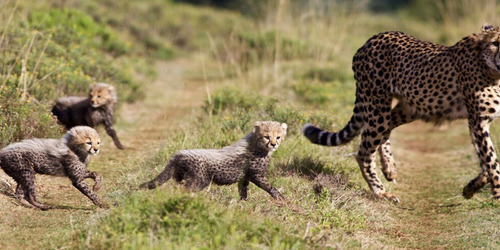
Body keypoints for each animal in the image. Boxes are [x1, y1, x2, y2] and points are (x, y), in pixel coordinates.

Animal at [304, 23, 500, 202]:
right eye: (495, 43)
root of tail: (372, 39)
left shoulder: (476, 121)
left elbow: (485, 160)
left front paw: (471, 188)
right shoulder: (478, 120)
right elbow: (492, 161)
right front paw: (497, 194)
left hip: (410, 108)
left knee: (386, 129)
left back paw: (389, 168)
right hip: (378, 106)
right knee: (364, 152)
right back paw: (381, 192)